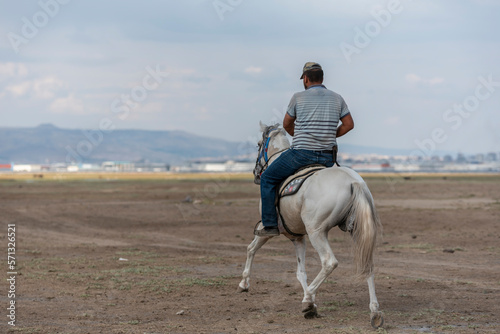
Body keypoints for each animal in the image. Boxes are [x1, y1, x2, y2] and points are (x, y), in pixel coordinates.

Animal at [238, 121, 382, 328]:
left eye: (258, 144)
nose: (256, 174)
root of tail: (354, 182)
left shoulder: (269, 230)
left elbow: (251, 248)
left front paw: (244, 283)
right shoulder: (298, 237)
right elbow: (301, 272)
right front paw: (313, 302)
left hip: (317, 232)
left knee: (329, 262)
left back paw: (307, 300)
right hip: (358, 231)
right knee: (367, 264)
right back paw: (374, 311)